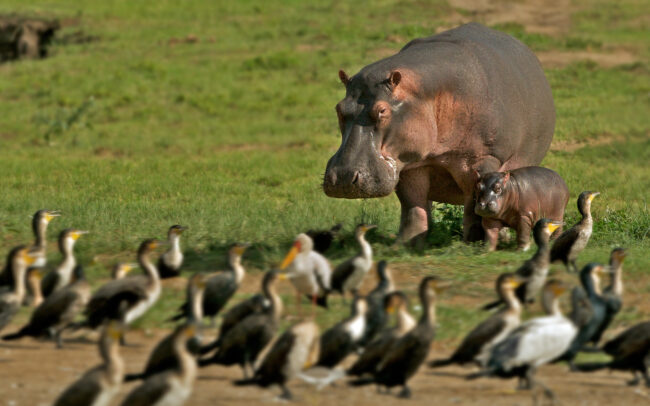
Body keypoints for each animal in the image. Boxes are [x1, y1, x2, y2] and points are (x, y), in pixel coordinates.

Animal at [322, 23, 555, 245]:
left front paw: (474, 242)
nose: (343, 177)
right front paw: (406, 244)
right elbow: (413, 206)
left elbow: (476, 202)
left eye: (382, 111)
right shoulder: (408, 164)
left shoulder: (484, 158)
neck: (427, 92)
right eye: (339, 108)